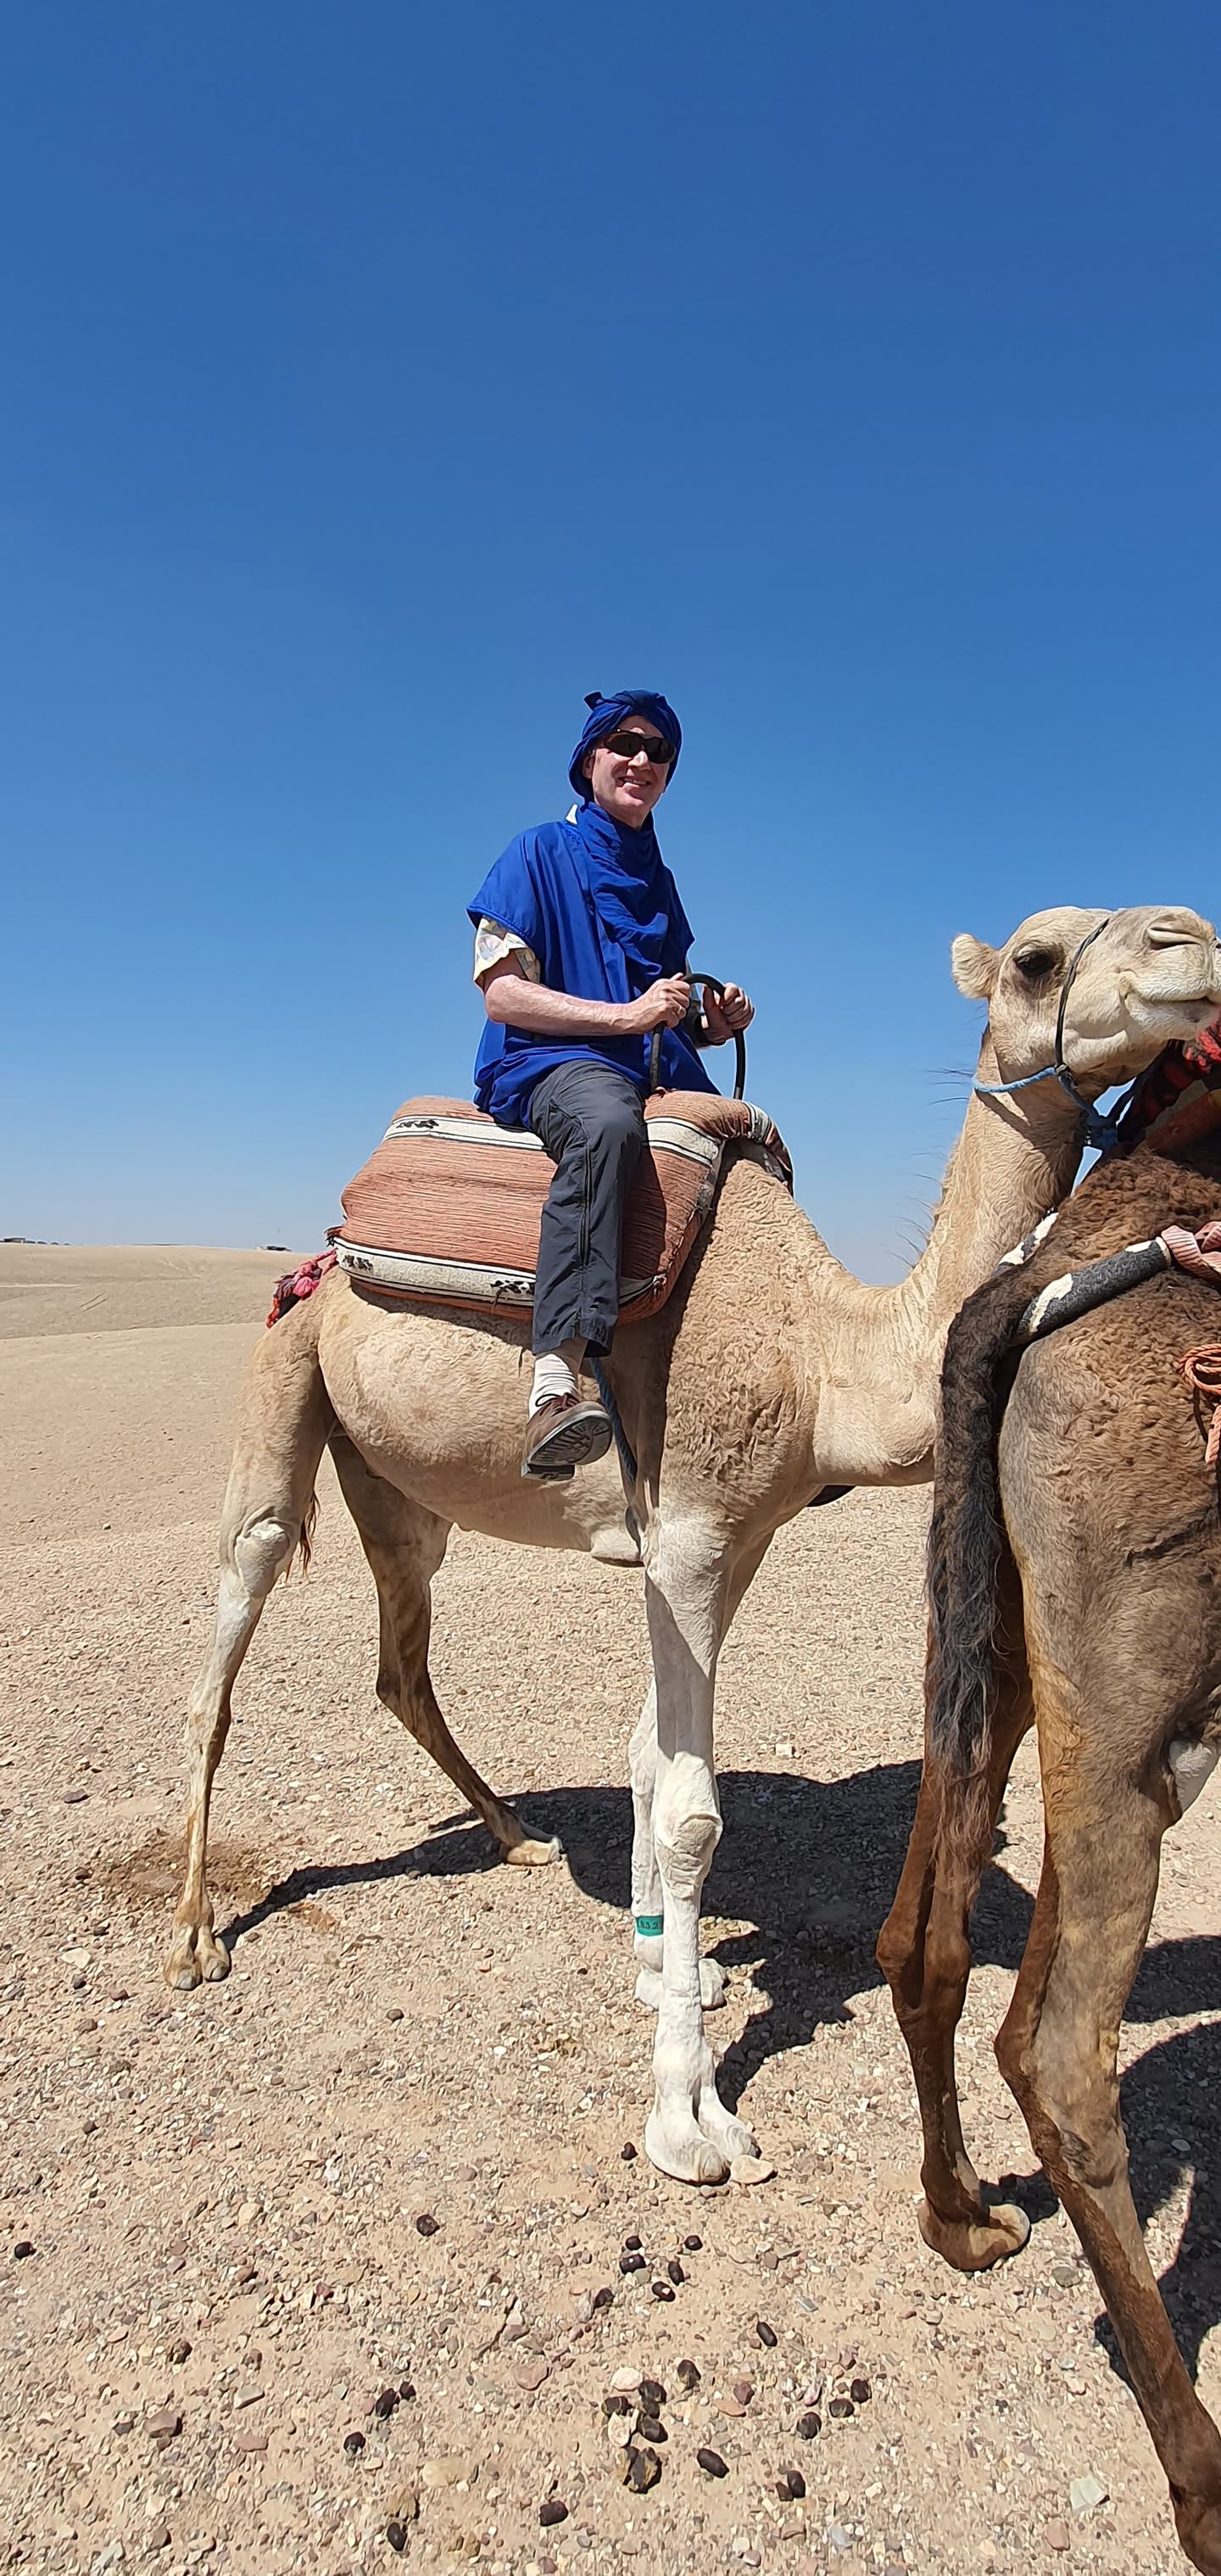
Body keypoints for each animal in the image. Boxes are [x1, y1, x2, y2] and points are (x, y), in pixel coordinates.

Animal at [167, 903, 1221, 2191]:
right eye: (1033, 957)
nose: (1192, 940)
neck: (823, 1350)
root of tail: (327, 1247)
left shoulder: (736, 1538)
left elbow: (644, 1755)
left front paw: (663, 1961)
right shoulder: (693, 1536)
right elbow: (692, 1814)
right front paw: (690, 2115)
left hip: (399, 1492)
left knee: (402, 1660)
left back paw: (516, 1834)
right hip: (285, 1376)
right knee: (228, 1641)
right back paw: (193, 1934)